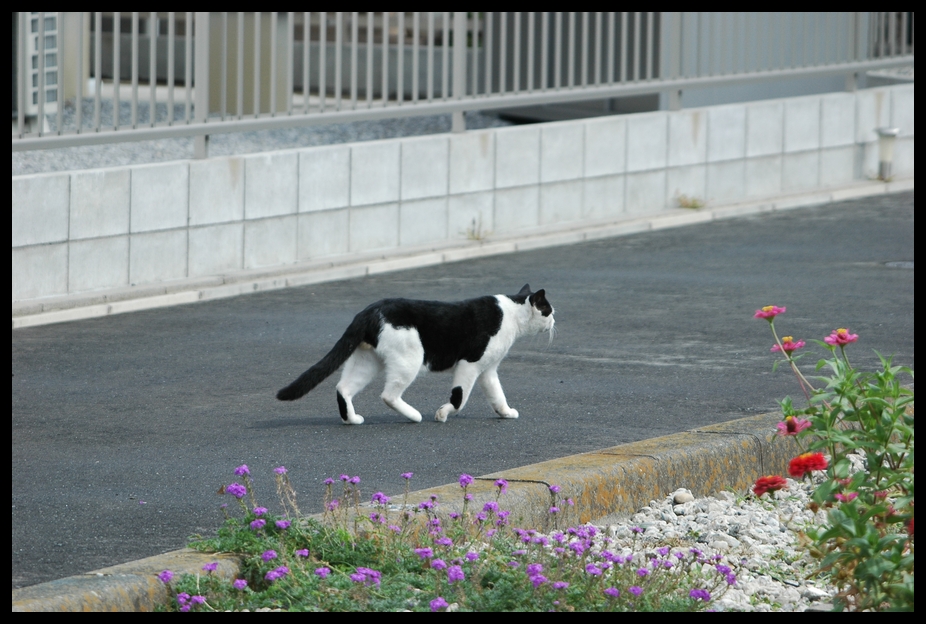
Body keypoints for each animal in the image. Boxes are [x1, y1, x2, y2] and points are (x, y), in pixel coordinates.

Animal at [276, 284, 552, 424]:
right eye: (548, 310)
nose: (554, 320)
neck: (512, 314)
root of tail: (369, 311)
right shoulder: (470, 364)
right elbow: (459, 398)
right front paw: (443, 414)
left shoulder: (488, 370)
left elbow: (497, 394)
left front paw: (505, 413)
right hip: (410, 359)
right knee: (388, 395)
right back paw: (415, 416)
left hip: (367, 362)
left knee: (343, 388)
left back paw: (352, 419)